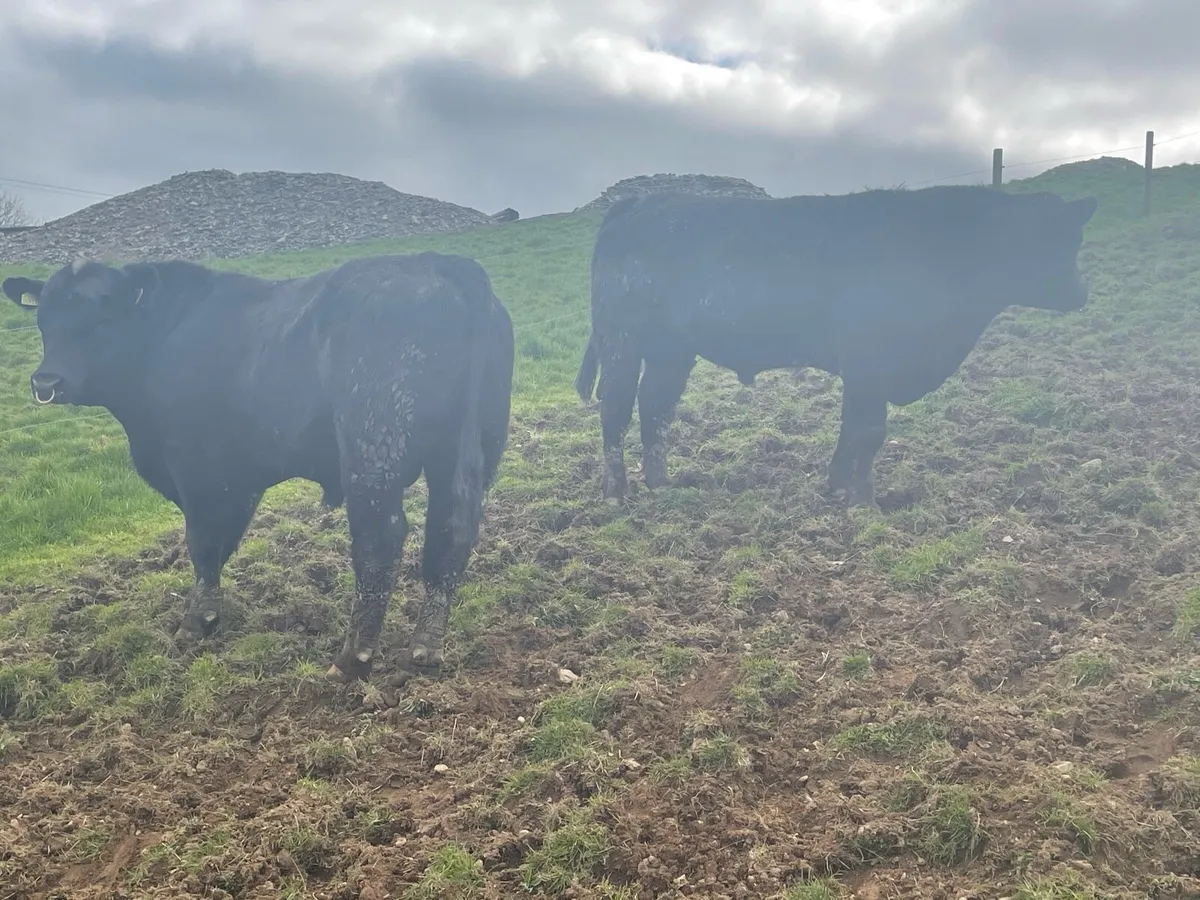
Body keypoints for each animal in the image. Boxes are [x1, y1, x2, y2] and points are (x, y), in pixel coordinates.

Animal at [3, 252, 514, 683]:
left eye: (102, 315)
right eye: (44, 319)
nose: (46, 381)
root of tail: (438, 261)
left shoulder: (197, 469)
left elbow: (202, 544)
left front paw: (196, 622)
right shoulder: (239, 476)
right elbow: (221, 542)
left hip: (373, 452)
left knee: (381, 538)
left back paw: (353, 657)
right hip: (465, 451)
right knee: (451, 530)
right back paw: (425, 648)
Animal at [574, 185, 1098, 506]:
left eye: (1074, 239)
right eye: (1043, 239)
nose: (1080, 293)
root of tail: (642, 201)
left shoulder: (866, 370)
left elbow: (855, 429)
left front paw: (838, 487)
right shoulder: (869, 361)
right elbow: (869, 430)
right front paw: (864, 501)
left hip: (672, 350)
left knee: (655, 407)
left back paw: (663, 483)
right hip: (623, 342)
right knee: (616, 408)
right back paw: (616, 492)